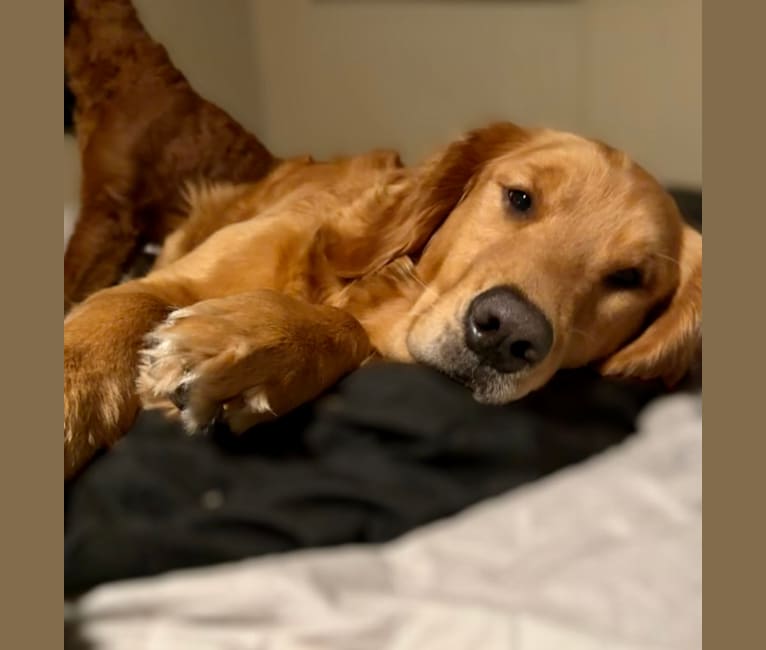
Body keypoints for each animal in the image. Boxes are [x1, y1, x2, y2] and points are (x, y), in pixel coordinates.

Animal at [64, 0, 704, 478]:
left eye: (629, 279)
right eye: (520, 197)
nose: (507, 334)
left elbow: (344, 330)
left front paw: (262, 342)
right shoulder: (166, 280)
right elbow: (113, 316)